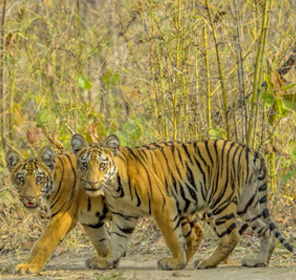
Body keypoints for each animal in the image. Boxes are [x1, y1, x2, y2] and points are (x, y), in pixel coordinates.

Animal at [71, 135, 294, 270]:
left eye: (102, 165)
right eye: (84, 165)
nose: (91, 183)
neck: (113, 187)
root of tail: (250, 150)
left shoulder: (163, 204)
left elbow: (172, 236)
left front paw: (176, 262)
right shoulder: (124, 215)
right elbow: (117, 240)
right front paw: (107, 261)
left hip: (221, 201)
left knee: (231, 236)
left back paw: (206, 262)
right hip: (248, 203)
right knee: (265, 230)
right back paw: (258, 261)